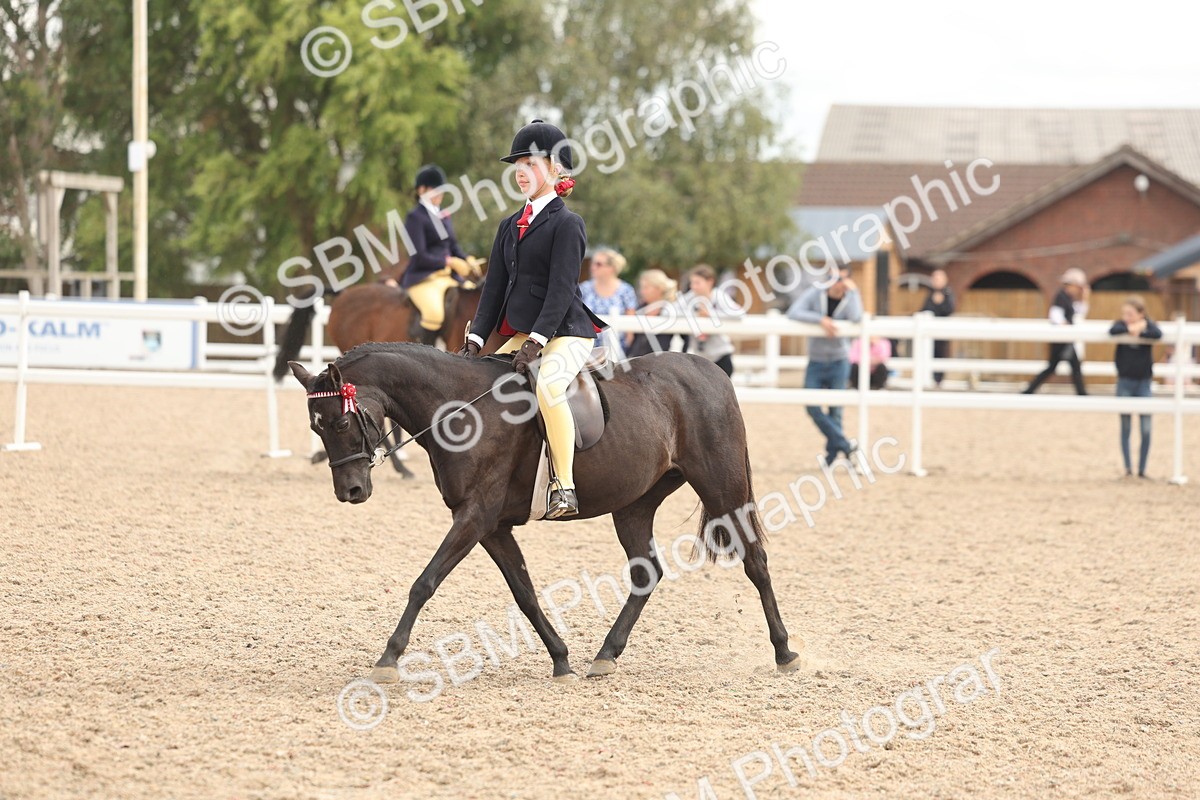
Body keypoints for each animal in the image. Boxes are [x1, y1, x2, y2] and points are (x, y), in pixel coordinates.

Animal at [288, 343, 803, 682]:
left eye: (340, 422)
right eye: (317, 428)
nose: (351, 491)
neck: (460, 408)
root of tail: (709, 370)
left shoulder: (475, 516)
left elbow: (424, 583)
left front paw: (388, 660)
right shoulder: (492, 526)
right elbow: (525, 593)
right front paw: (561, 658)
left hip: (722, 486)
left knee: (755, 561)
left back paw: (784, 652)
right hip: (634, 505)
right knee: (646, 573)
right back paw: (606, 654)